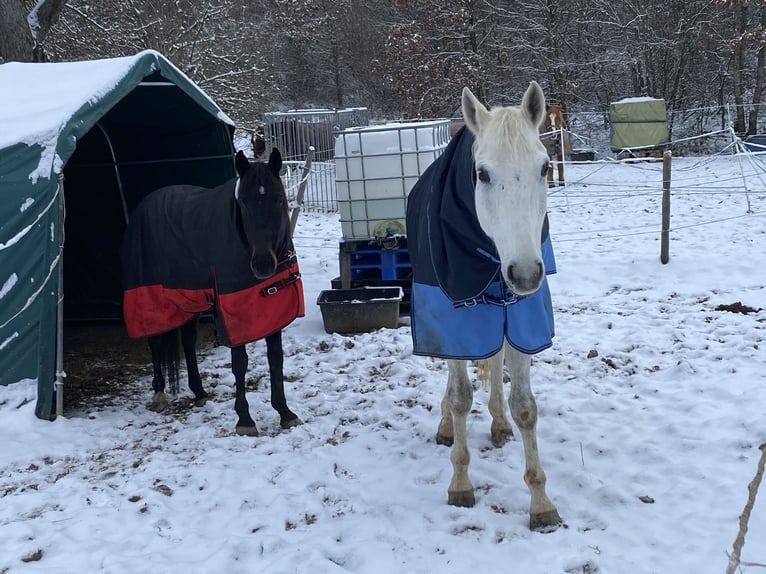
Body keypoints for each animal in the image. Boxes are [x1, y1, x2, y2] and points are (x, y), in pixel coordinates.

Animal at [408, 80, 564, 532]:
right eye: (482, 174)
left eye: (544, 168)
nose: (526, 274)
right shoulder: (456, 324)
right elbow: (460, 396)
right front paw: (460, 483)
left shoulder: (524, 320)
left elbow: (524, 407)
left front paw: (540, 502)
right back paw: (446, 425)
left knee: (495, 364)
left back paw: (497, 422)